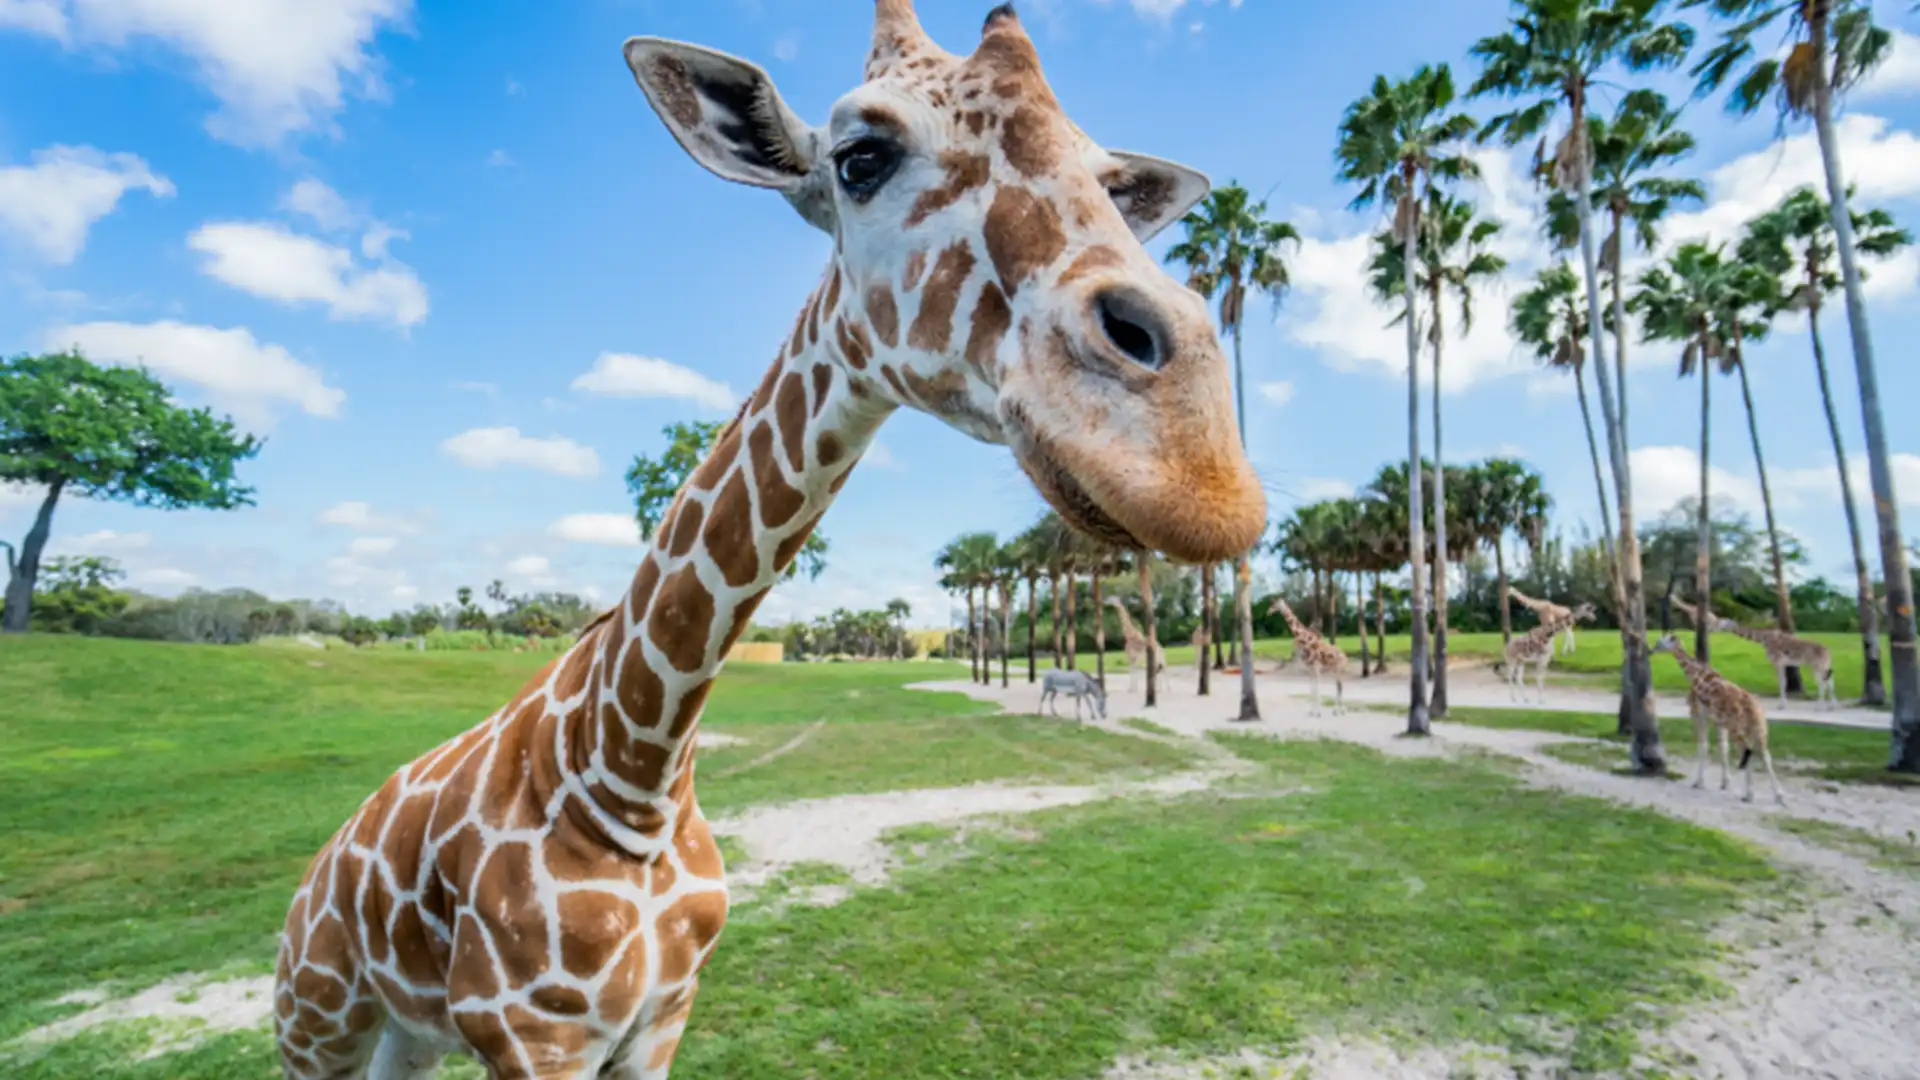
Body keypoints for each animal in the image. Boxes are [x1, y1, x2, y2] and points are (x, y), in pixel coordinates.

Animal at [266, 4, 1259, 1068]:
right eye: (861, 157)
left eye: (1114, 185)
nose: (1198, 466)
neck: (627, 777)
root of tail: (316, 869)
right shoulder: (533, 1037)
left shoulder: (662, 1016)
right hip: (314, 1024)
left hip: (410, 1037)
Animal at [1651, 630, 1781, 799]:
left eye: (1660, 642)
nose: (1651, 650)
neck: (1697, 676)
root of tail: (1755, 710)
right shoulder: (1719, 721)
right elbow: (1723, 748)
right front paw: (1725, 783)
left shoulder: (1699, 715)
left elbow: (1703, 746)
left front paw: (1698, 782)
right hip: (1759, 729)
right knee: (1765, 755)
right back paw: (1779, 795)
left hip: (1737, 728)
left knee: (1747, 751)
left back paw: (1749, 794)